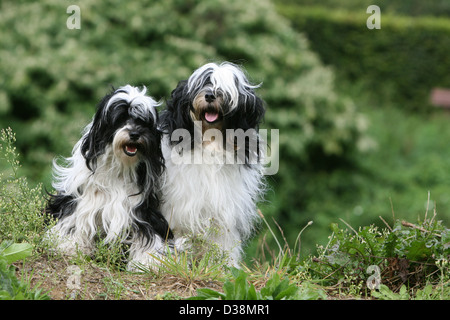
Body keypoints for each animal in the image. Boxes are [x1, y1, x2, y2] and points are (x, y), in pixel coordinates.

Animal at [45, 85, 175, 270]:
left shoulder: (141, 209)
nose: (134, 133)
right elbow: (74, 219)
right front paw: (68, 245)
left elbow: (148, 232)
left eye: (143, 122)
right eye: (120, 119)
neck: (120, 165)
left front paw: (148, 260)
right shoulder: (81, 198)